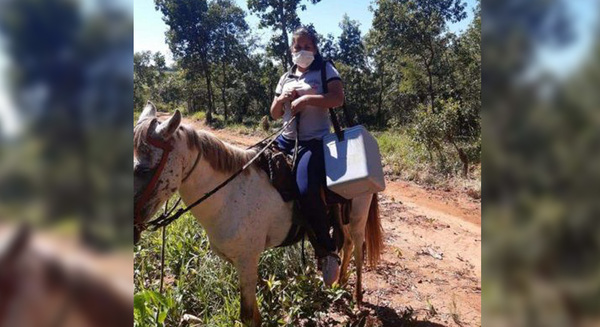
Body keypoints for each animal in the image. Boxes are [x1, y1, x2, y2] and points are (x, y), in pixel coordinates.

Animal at [134, 101, 382, 326]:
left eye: (143, 170)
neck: (229, 195)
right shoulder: (242, 263)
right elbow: (255, 312)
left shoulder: (247, 260)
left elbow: (247, 316)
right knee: (346, 243)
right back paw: (340, 281)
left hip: (359, 216)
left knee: (357, 248)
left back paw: (357, 296)